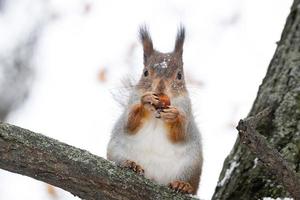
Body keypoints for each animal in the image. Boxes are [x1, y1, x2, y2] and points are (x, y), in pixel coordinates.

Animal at [106, 25, 203, 195]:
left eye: (179, 75)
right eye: (145, 72)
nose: (160, 89)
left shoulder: (187, 111)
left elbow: (182, 133)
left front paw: (174, 115)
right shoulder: (131, 103)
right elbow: (129, 123)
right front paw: (146, 102)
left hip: (191, 166)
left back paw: (183, 185)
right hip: (115, 152)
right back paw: (131, 164)